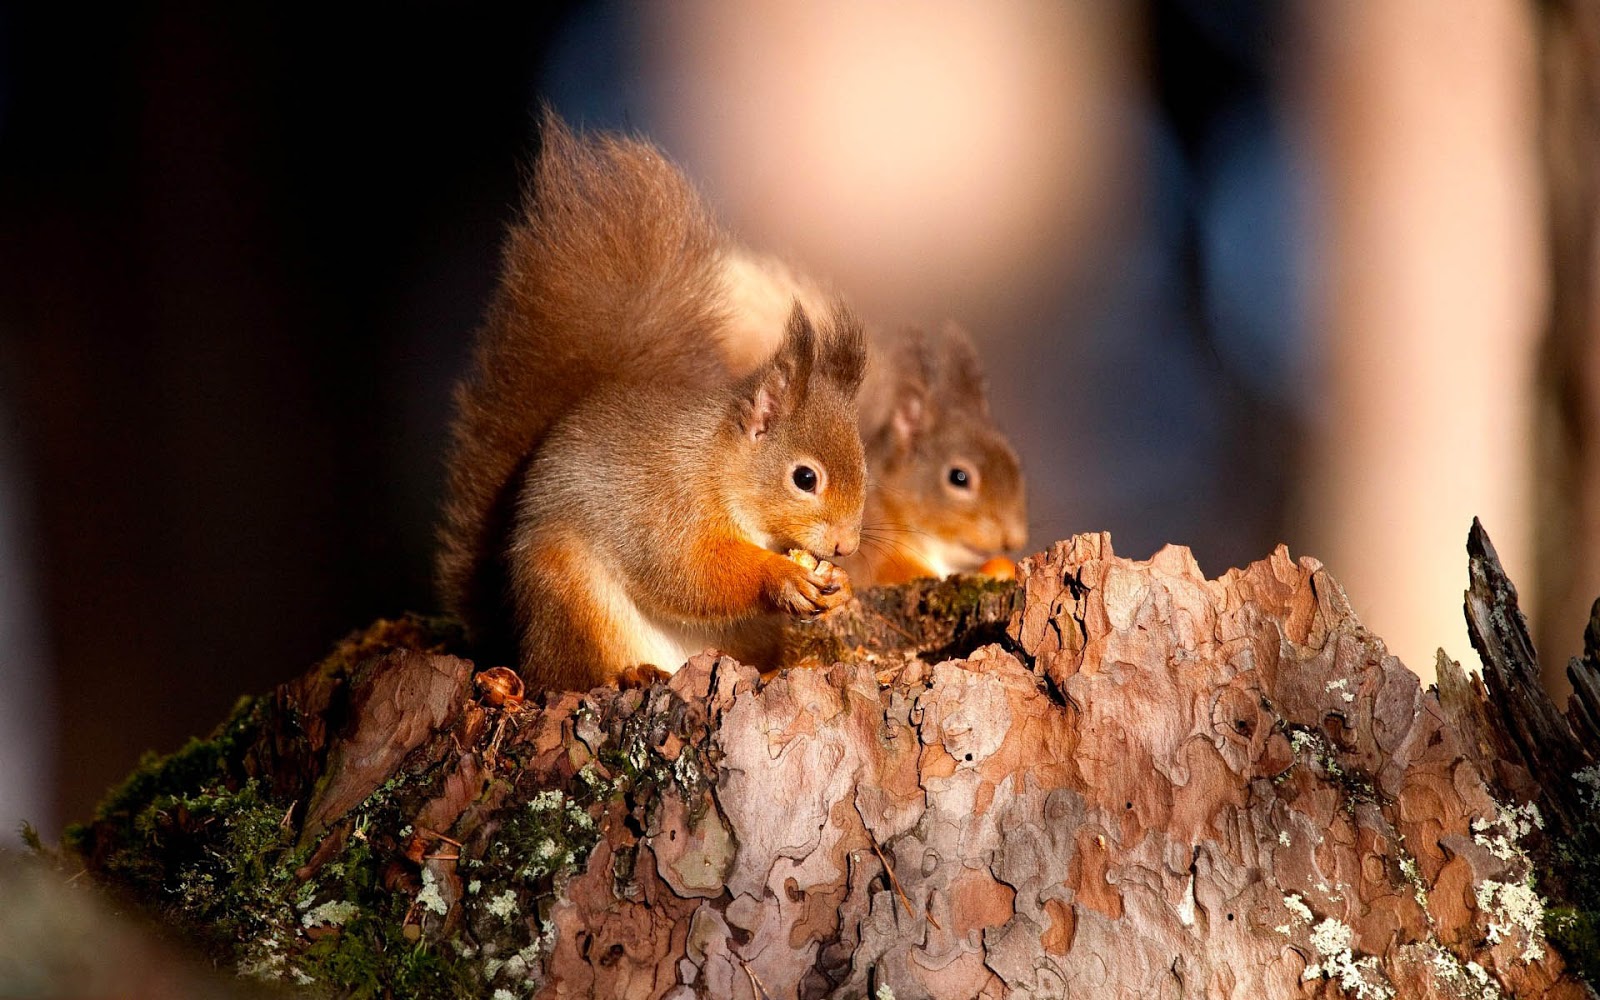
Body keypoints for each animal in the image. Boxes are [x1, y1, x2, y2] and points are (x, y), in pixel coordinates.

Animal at [435, 114, 868, 690]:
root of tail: (518, 639)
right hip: (569, 595)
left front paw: (840, 587)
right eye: (804, 478)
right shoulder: (666, 505)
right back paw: (627, 674)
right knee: (568, 675)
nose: (846, 546)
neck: (716, 463)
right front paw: (780, 577)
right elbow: (688, 570)